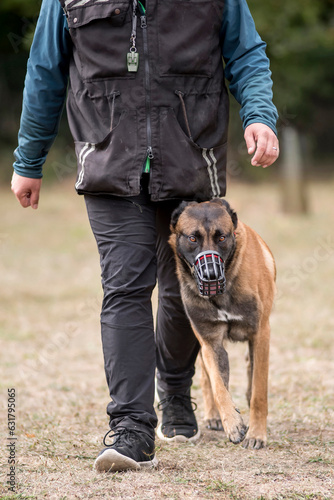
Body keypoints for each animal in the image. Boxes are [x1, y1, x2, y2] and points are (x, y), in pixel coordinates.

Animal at [170, 198, 276, 450]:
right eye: (193, 238)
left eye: (221, 237)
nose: (210, 275)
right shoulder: (211, 343)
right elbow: (219, 385)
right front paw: (232, 423)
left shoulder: (261, 334)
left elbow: (259, 391)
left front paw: (257, 434)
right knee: (206, 378)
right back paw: (214, 416)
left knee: (250, 370)